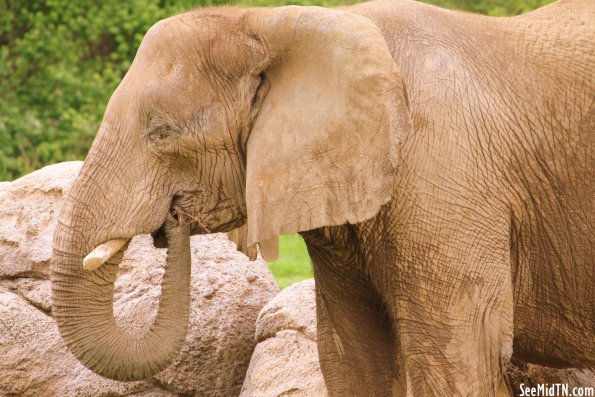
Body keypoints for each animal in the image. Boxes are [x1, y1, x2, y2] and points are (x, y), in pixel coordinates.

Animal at [50, 0, 592, 394]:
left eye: (162, 133)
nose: (174, 218)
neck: (277, 23)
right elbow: (355, 359)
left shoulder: (447, 174)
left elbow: (458, 359)